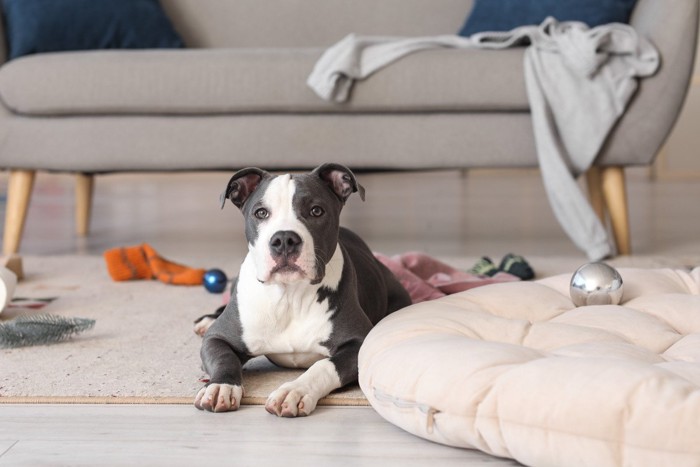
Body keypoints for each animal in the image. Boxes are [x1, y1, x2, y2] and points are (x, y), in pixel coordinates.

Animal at [193, 164, 410, 416]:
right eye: (261, 213)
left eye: (316, 211)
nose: (284, 239)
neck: (289, 296)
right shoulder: (217, 338)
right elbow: (224, 357)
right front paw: (221, 386)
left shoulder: (359, 343)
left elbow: (323, 366)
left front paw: (294, 391)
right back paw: (207, 319)